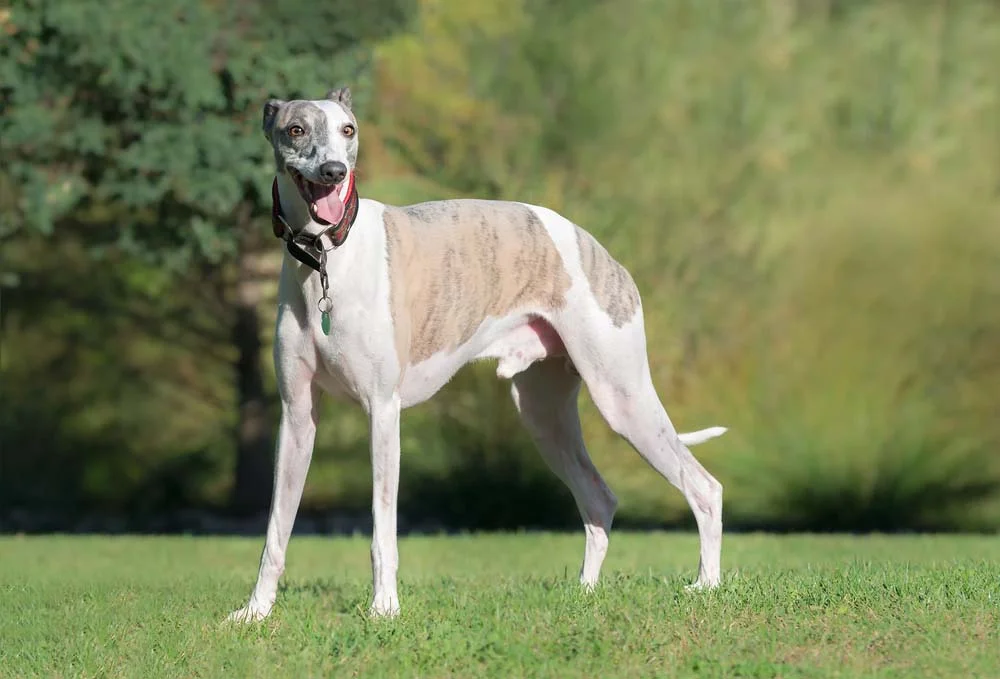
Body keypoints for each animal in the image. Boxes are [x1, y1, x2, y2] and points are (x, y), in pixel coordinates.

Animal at [228, 87, 728, 624]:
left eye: (349, 130)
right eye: (296, 129)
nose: (334, 172)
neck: (325, 260)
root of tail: (598, 248)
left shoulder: (383, 411)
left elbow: (383, 529)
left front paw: (384, 607)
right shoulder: (297, 417)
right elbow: (276, 531)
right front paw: (255, 612)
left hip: (622, 395)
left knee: (703, 486)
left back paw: (706, 585)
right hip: (543, 414)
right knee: (599, 497)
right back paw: (585, 592)